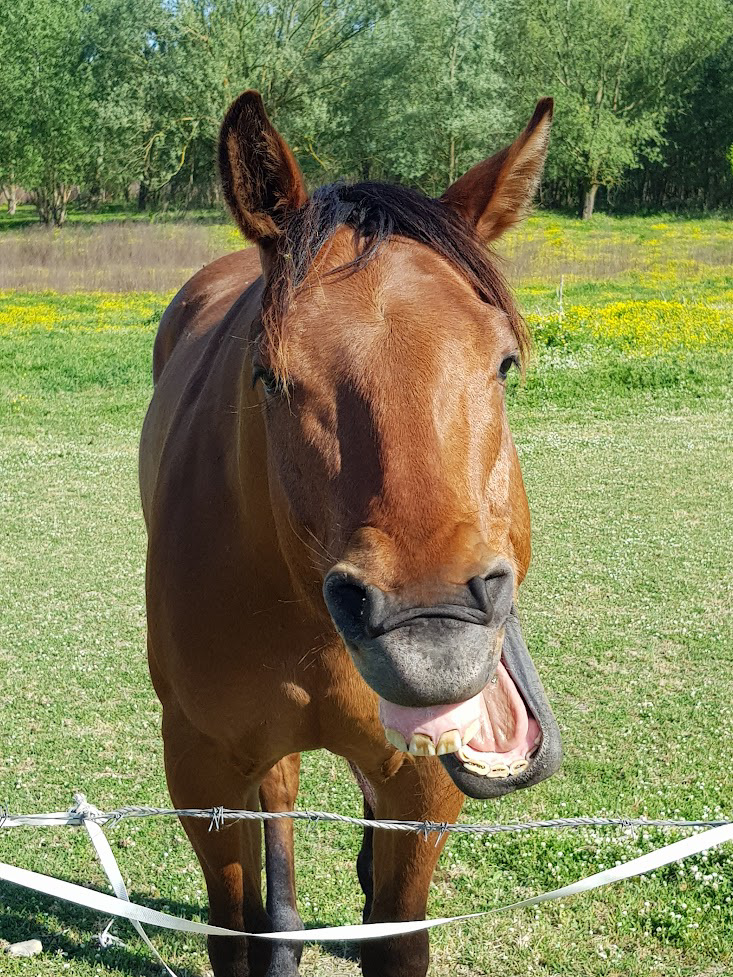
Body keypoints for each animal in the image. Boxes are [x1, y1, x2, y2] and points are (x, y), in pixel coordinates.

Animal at [137, 93, 560, 976]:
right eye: (268, 375)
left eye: (503, 364)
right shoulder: (202, 772)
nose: (432, 639)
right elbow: (232, 930)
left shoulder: (424, 785)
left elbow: (395, 936)